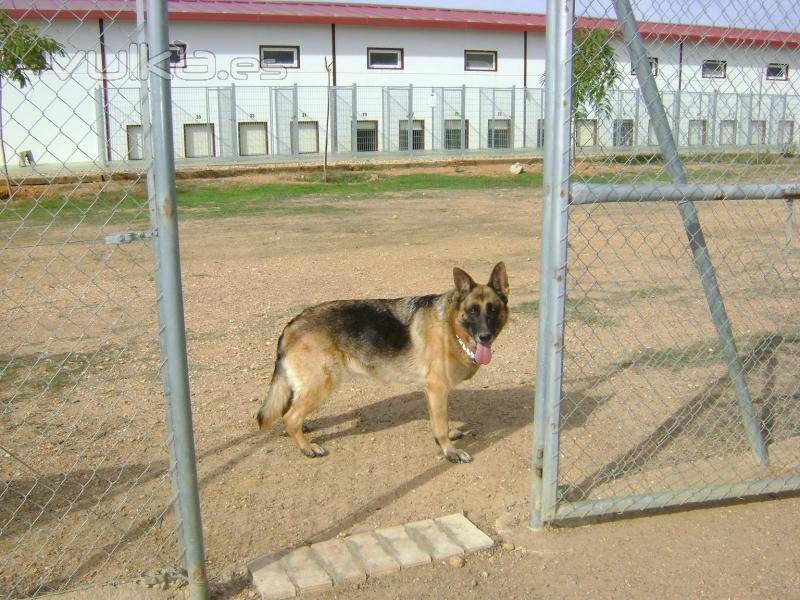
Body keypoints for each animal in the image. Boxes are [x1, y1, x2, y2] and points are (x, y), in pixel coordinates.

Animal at [256, 262, 510, 464]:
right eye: (472, 311)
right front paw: (450, 451)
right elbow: (440, 424)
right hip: (322, 383)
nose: (485, 337)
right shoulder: (437, 389)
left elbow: (438, 422)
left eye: (493, 309)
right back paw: (306, 447)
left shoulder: (431, 391)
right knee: (290, 416)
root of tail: (292, 323)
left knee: (289, 411)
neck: (451, 326)